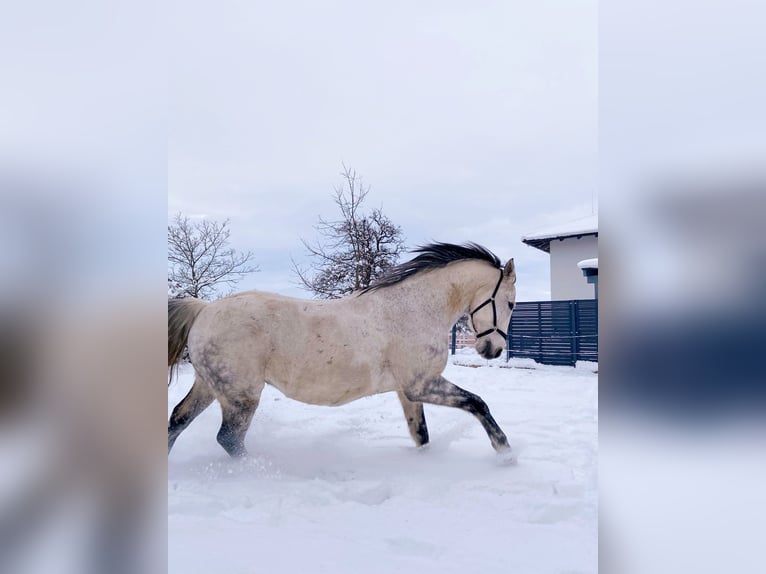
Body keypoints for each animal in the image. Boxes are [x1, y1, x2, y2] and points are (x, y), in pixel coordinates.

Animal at [167, 243, 516, 464]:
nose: (494, 350)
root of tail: (204, 310)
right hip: (241, 395)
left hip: (211, 385)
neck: (415, 308)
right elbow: (477, 403)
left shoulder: (409, 391)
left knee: (178, 419)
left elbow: (421, 434)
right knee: (229, 439)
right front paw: (506, 452)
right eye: (511, 303)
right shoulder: (422, 383)